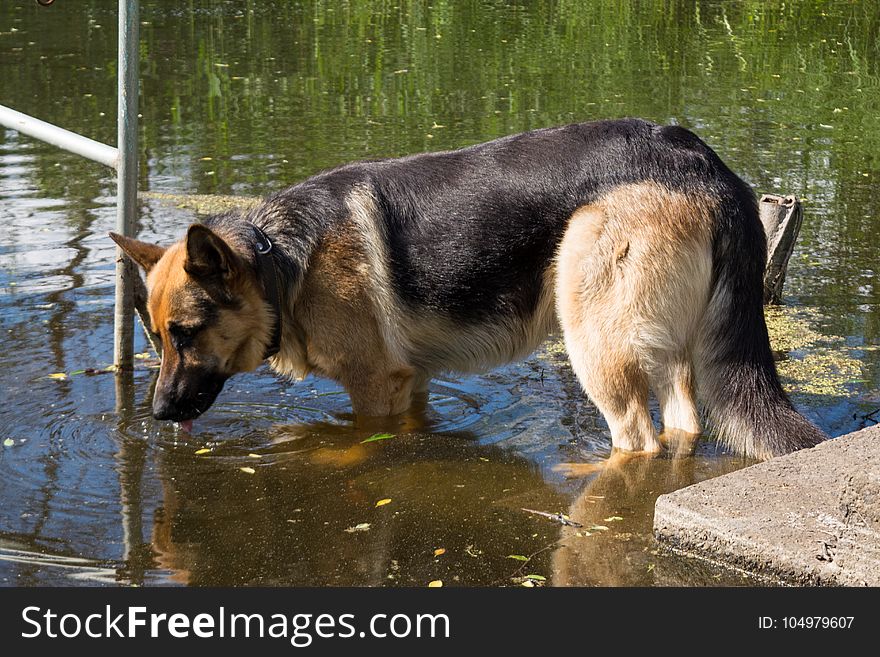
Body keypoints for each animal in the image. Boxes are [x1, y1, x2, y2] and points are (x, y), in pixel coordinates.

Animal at [110, 119, 824, 456]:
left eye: (187, 334)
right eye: (156, 337)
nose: (156, 416)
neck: (281, 261)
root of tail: (701, 158)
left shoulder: (374, 389)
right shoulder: (412, 383)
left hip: (594, 341)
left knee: (638, 439)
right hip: (666, 350)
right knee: (681, 428)